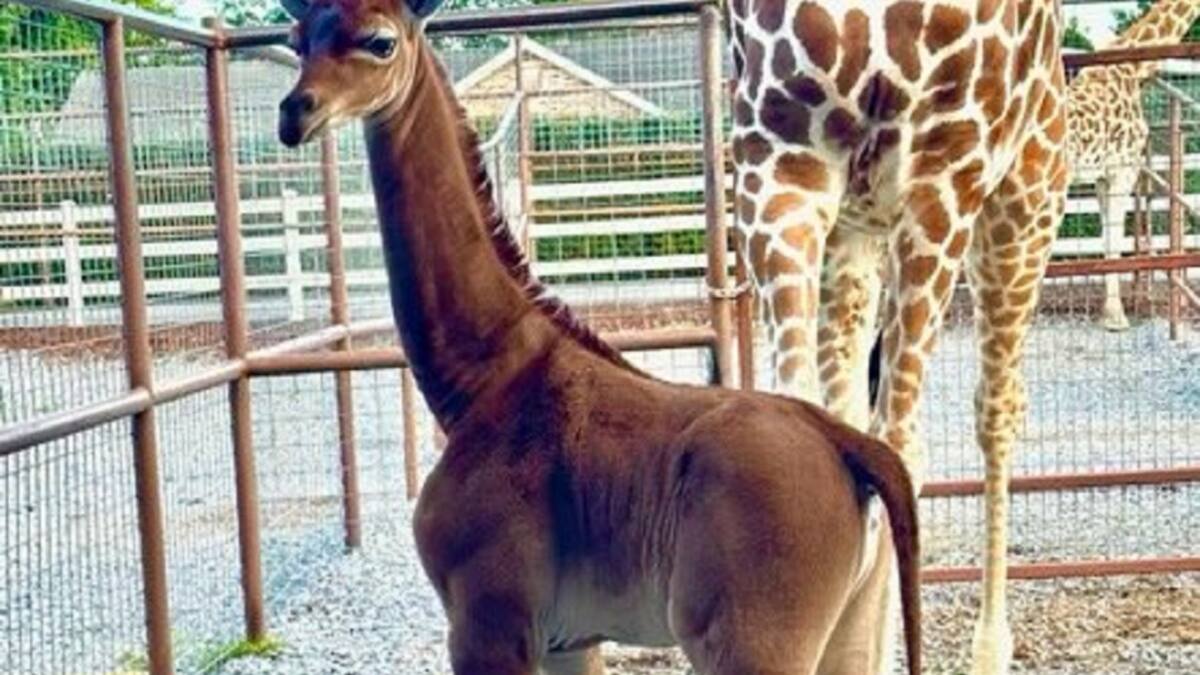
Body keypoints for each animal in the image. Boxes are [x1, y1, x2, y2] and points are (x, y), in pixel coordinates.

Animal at [728, 1, 1069, 673]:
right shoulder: (779, 158)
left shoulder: (943, 170)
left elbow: (899, 450)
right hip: (873, 229)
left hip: (1014, 206)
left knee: (990, 411)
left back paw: (987, 650)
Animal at [1068, 0, 1200, 331]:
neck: (1131, 67)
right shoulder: (1123, 169)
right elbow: (1115, 239)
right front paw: (1115, 318)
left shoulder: (1103, 177)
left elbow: (1108, 236)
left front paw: (1109, 313)